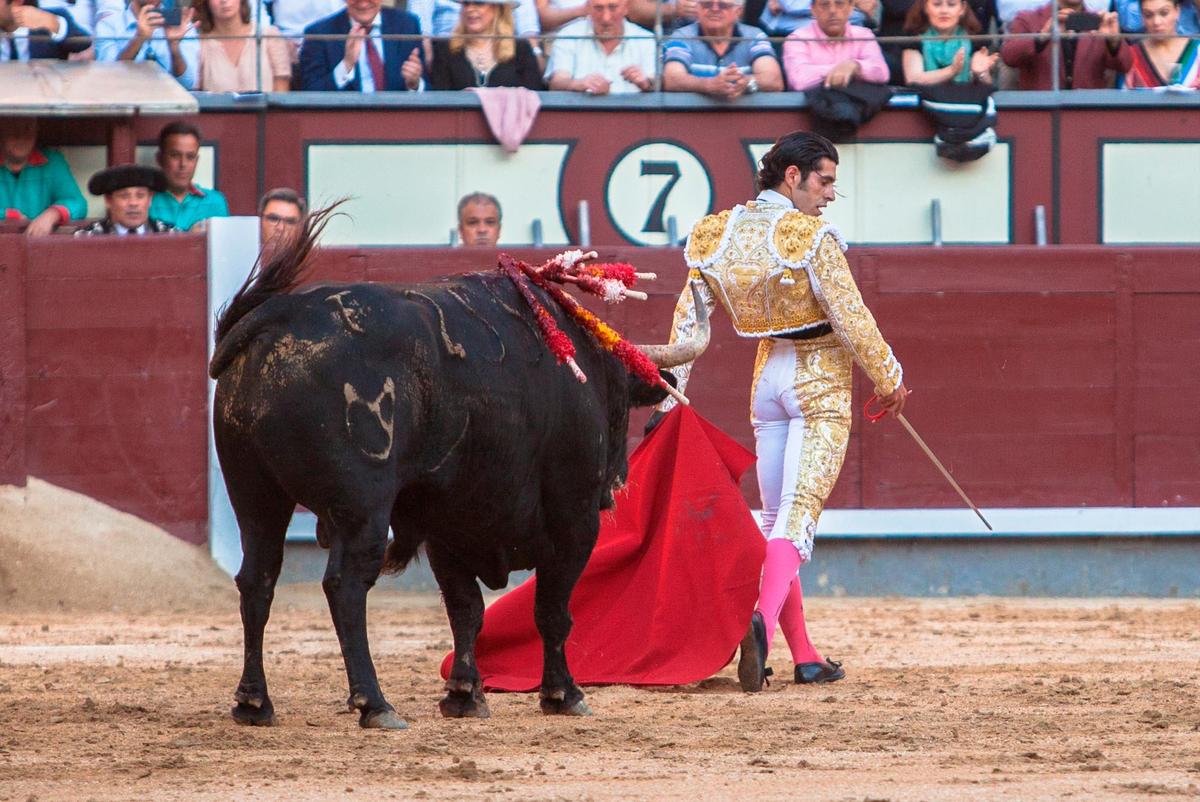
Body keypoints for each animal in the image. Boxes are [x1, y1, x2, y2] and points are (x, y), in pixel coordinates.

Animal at [210, 211, 705, 725]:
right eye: (624, 395)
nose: (618, 477)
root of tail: (280, 317)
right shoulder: (574, 518)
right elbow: (552, 609)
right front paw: (563, 694)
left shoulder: (446, 527)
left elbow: (465, 609)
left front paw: (465, 694)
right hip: (362, 507)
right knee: (345, 586)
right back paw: (375, 703)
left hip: (255, 495)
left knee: (257, 580)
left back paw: (254, 702)